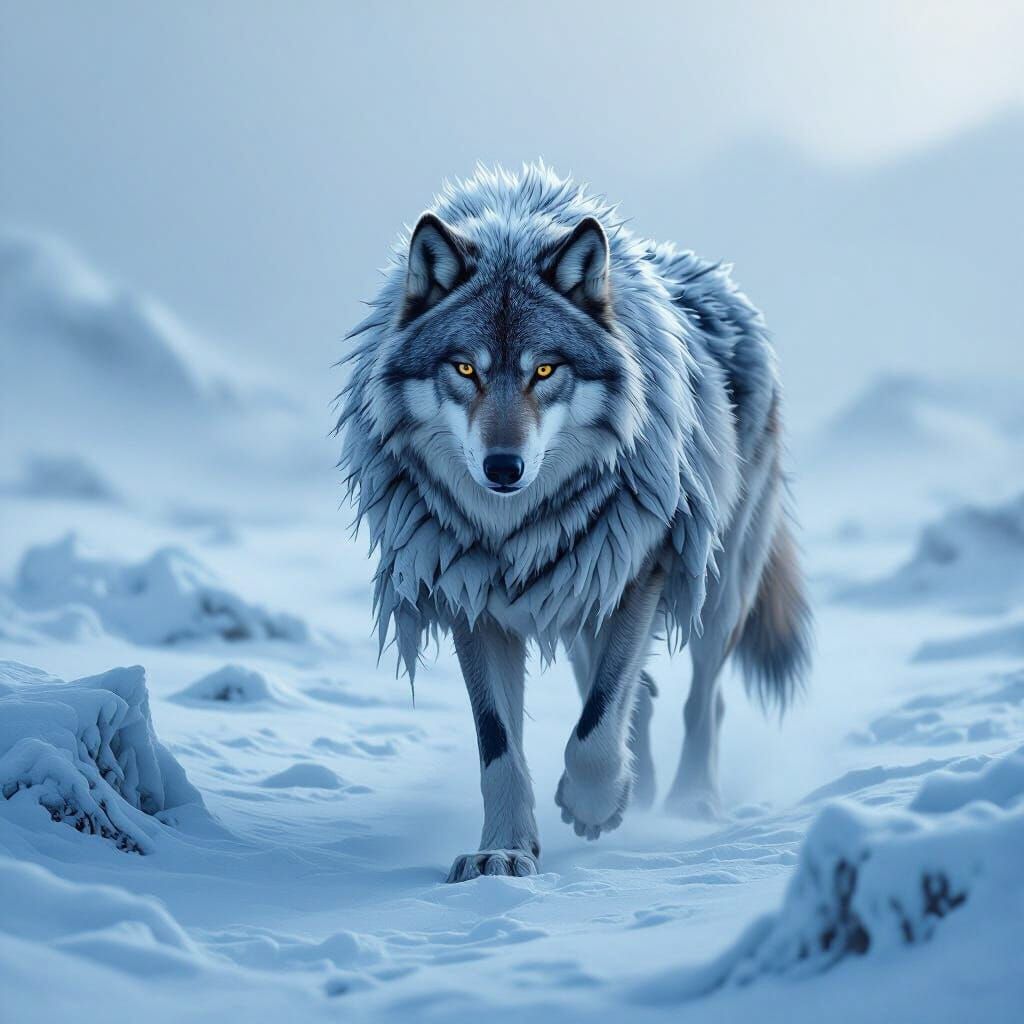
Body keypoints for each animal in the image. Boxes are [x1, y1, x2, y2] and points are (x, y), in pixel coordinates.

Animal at [335, 164, 811, 882]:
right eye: (466, 368)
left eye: (544, 369)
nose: (503, 467)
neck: (512, 531)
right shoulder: (471, 595)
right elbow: (501, 744)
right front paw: (502, 851)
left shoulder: (644, 569)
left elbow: (597, 721)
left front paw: (592, 805)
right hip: (583, 584)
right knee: (640, 693)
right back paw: (644, 789)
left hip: (713, 582)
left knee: (702, 697)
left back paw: (689, 802)